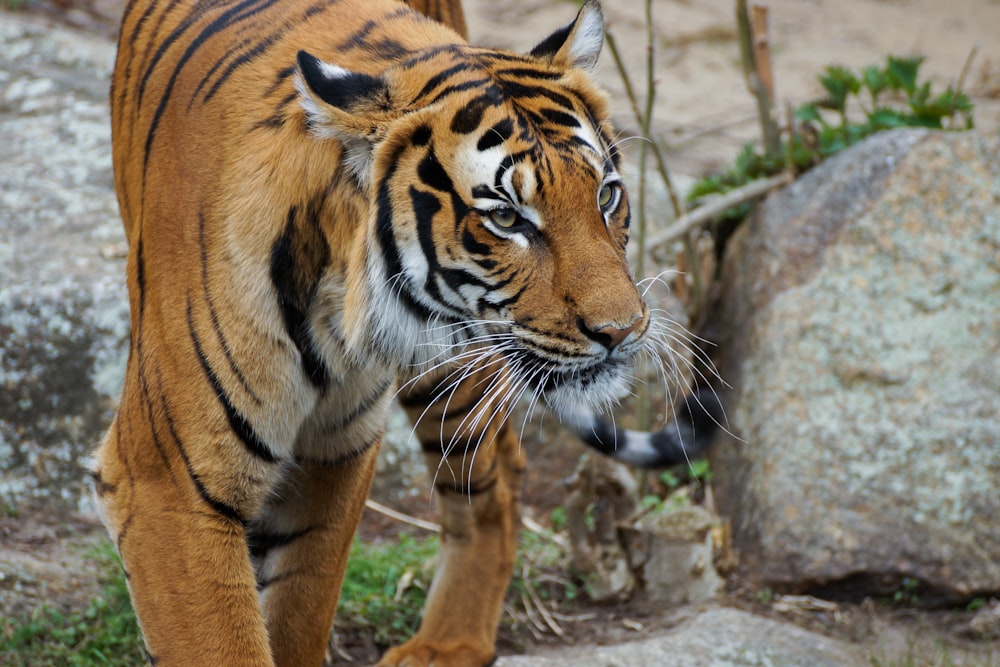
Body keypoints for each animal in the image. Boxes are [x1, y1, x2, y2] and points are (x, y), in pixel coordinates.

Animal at [92, 0, 720, 664]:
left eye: (606, 195)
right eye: (506, 218)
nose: (623, 331)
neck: (331, 315)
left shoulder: (334, 452)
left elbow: (299, 612)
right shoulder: (168, 483)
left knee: (493, 485)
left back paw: (447, 645)